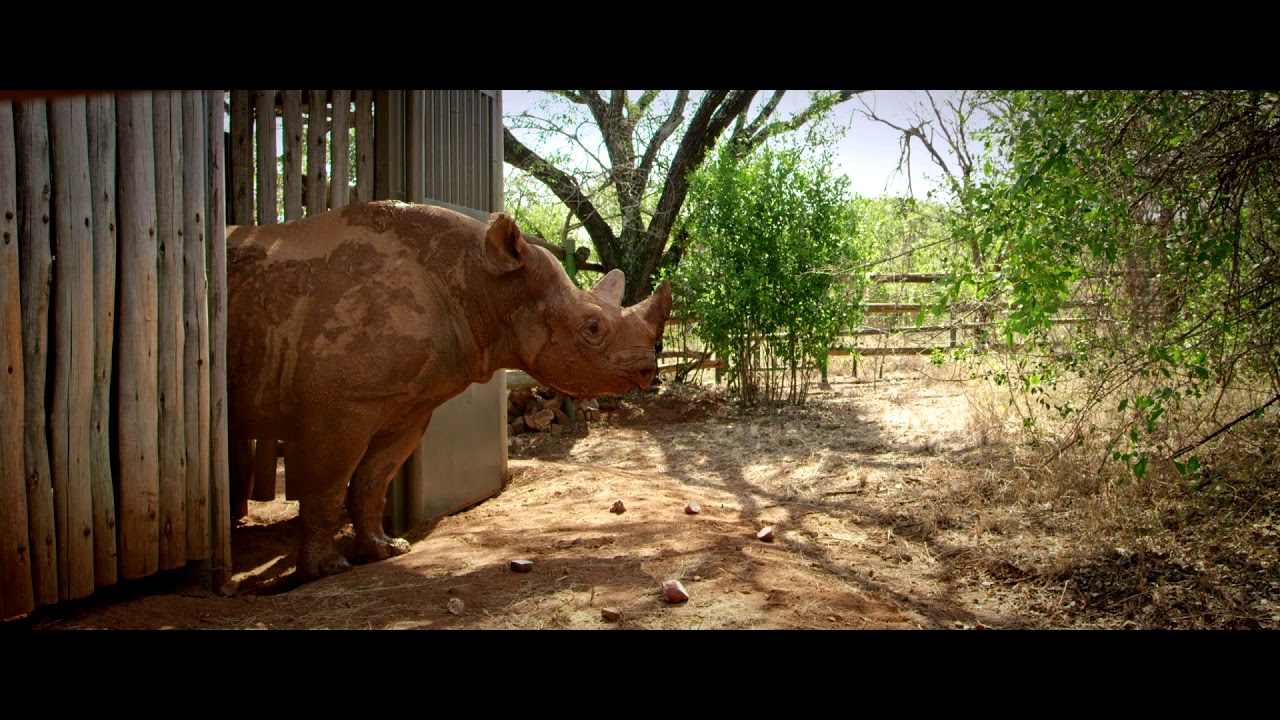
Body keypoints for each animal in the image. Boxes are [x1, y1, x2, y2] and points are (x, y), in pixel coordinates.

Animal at [226, 201, 672, 579]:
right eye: (592, 328)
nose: (648, 369)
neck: (485, 287)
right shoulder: (338, 404)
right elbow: (327, 484)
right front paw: (326, 571)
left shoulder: (406, 406)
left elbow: (373, 479)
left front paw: (386, 551)